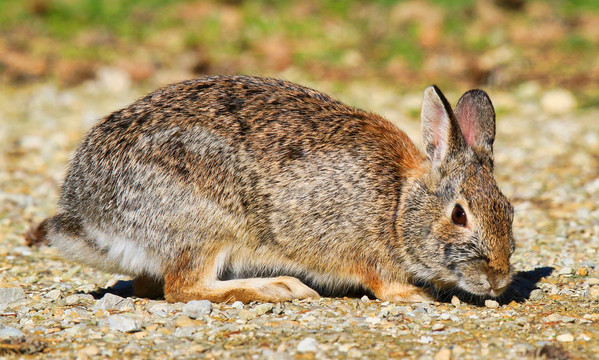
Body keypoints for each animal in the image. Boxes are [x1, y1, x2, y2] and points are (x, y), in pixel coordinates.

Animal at [39, 76, 516, 304]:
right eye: (459, 215)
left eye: (509, 212)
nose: (498, 279)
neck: (398, 205)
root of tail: (88, 213)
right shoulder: (355, 246)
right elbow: (380, 280)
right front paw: (415, 295)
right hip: (205, 224)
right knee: (184, 287)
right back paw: (280, 288)